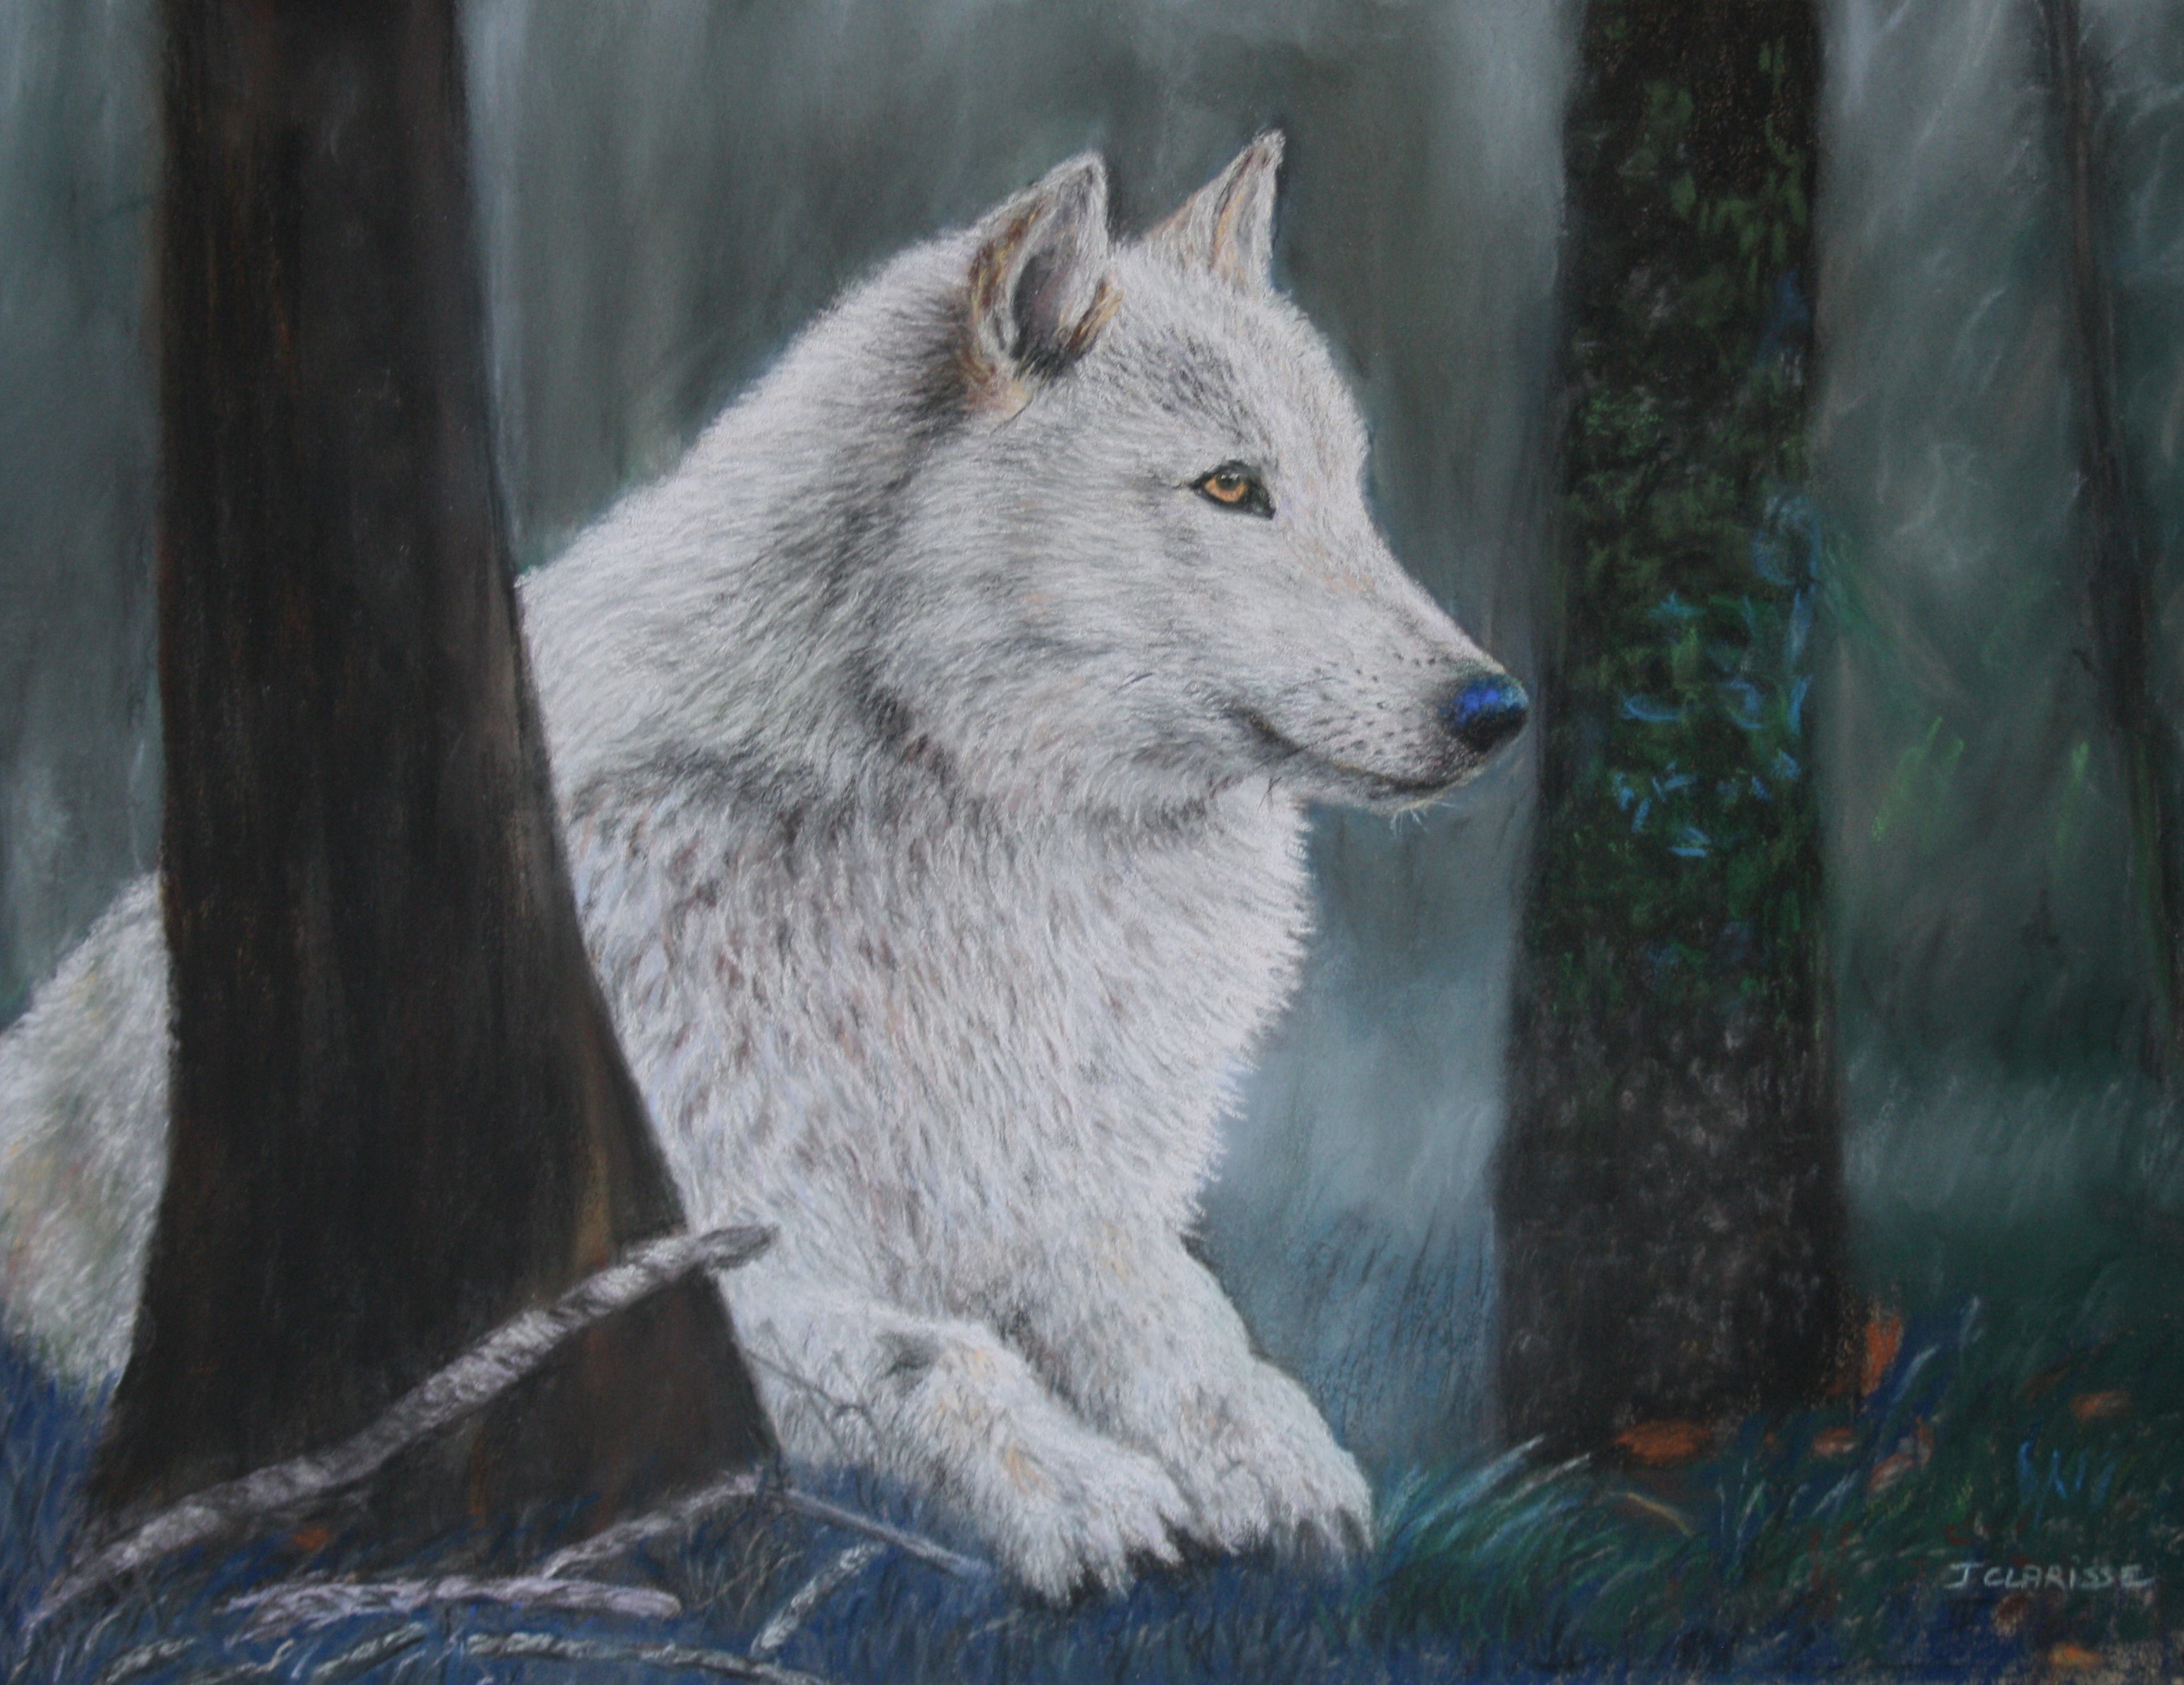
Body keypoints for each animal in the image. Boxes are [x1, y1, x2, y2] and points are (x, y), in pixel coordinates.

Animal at [0, 134, 1527, 1598]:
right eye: (1230, 487)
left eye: (1346, 491)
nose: (1497, 707)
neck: (958, 836)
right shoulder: (684, 1272)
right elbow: (940, 1355)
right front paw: (1088, 1501)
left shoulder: (1052, 1204)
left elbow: (1189, 1326)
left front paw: (1277, 1470)